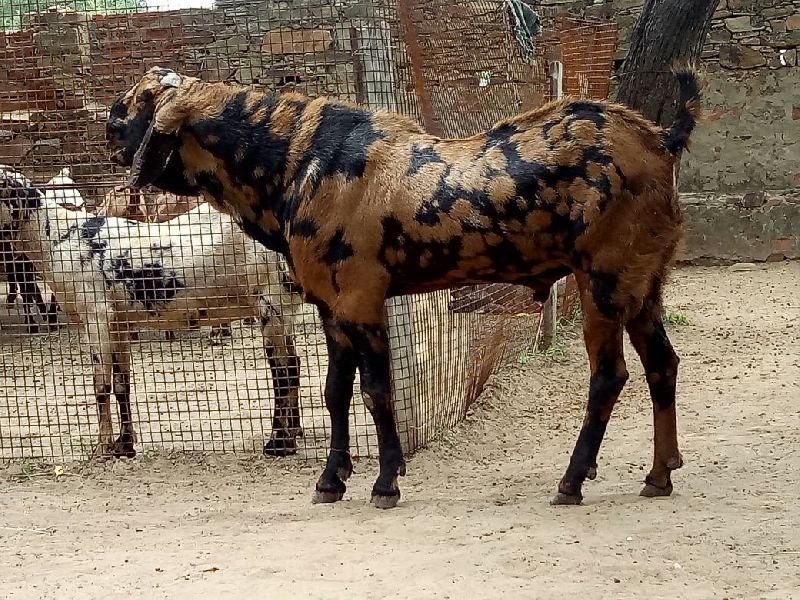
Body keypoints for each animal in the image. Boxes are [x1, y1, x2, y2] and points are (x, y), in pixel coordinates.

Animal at [0, 164, 305, 458]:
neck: (57, 238)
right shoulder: (119, 323)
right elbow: (122, 384)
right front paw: (124, 445)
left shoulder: (96, 316)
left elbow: (101, 384)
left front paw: (102, 447)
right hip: (283, 307)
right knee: (294, 363)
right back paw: (292, 435)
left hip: (270, 301)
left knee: (283, 371)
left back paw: (279, 443)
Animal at [106, 66, 701, 509]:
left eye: (139, 101)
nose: (110, 124)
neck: (300, 160)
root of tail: (660, 139)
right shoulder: (330, 307)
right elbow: (334, 392)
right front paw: (331, 479)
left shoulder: (362, 299)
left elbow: (376, 390)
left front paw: (385, 480)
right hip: (643, 287)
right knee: (661, 365)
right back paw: (659, 474)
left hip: (602, 282)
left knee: (609, 376)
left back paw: (573, 481)